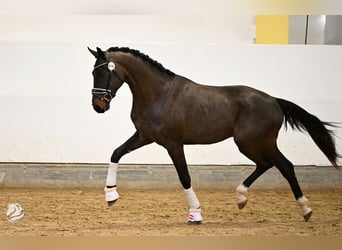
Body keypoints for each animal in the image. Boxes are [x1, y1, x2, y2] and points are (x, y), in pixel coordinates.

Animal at [88, 46, 340, 224]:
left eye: (103, 71)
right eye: (93, 71)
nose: (98, 106)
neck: (159, 94)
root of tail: (274, 101)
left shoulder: (173, 144)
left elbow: (185, 177)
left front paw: (195, 214)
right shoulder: (144, 136)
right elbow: (116, 153)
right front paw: (111, 196)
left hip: (252, 142)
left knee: (284, 166)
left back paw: (305, 209)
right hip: (256, 143)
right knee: (269, 164)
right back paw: (242, 198)